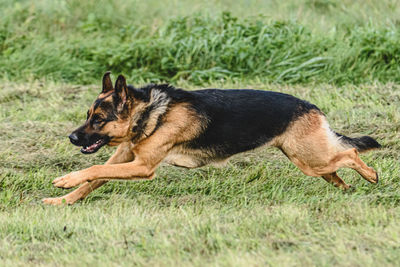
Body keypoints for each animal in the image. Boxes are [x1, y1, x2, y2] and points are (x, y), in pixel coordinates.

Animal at [41, 72, 382, 206]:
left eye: (99, 120)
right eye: (88, 115)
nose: (71, 137)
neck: (149, 112)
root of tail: (312, 107)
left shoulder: (142, 166)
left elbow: (94, 169)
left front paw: (66, 180)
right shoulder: (125, 157)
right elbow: (94, 179)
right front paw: (63, 200)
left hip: (310, 157)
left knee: (350, 153)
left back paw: (372, 176)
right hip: (309, 160)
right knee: (337, 168)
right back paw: (346, 189)